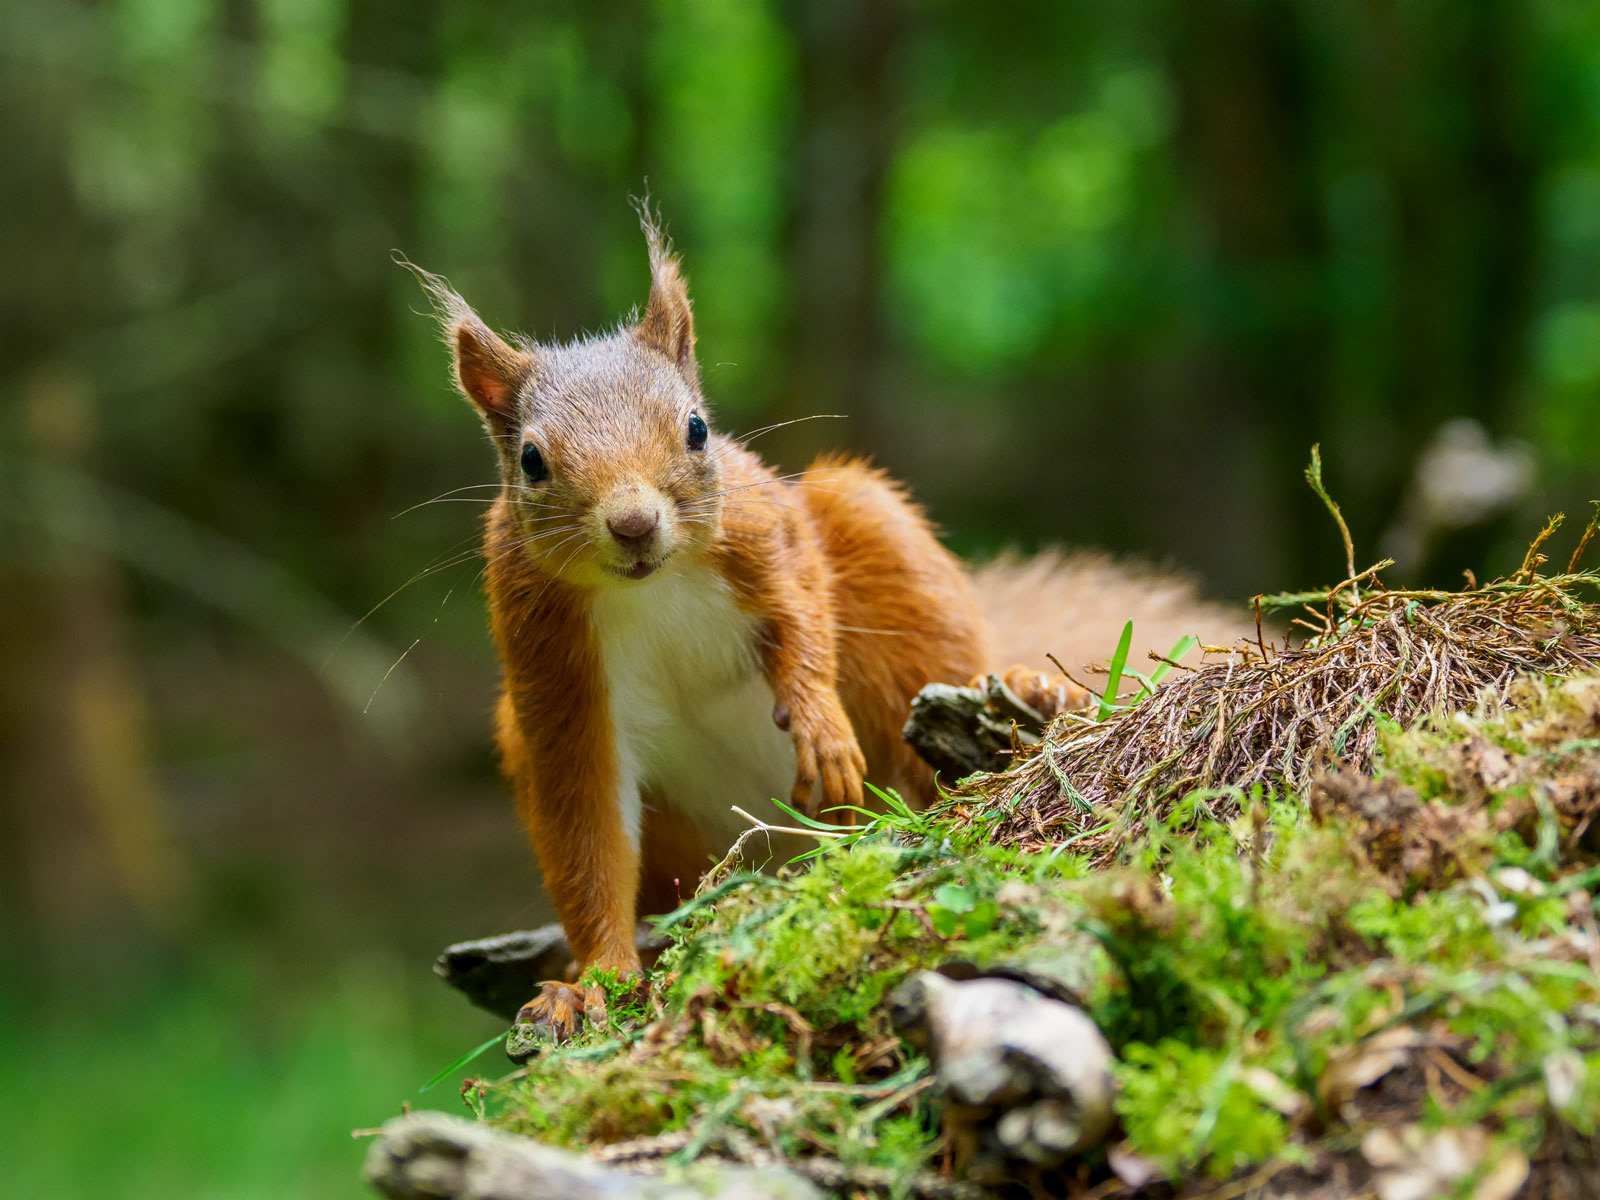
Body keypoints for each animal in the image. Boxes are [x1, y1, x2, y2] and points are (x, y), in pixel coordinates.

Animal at [411, 213, 1245, 1046]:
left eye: (697, 430)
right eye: (531, 461)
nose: (634, 523)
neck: (654, 587)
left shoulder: (764, 530)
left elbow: (803, 613)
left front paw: (820, 724)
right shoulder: (549, 661)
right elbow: (586, 830)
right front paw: (594, 983)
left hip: (877, 540)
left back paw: (1025, 695)